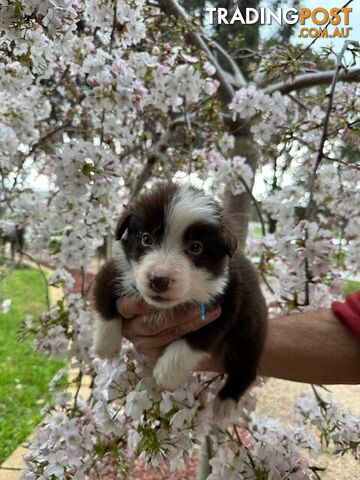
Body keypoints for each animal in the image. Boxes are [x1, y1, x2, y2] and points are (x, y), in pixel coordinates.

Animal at [93, 182, 268, 414]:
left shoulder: (227, 301)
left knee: (246, 364)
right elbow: (104, 299)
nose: (159, 280)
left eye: (196, 247)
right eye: (146, 239)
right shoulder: (116, 269)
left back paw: (225, 403)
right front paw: (105, 346)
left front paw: (166, 373)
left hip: (250, 326)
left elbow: (196, 340)